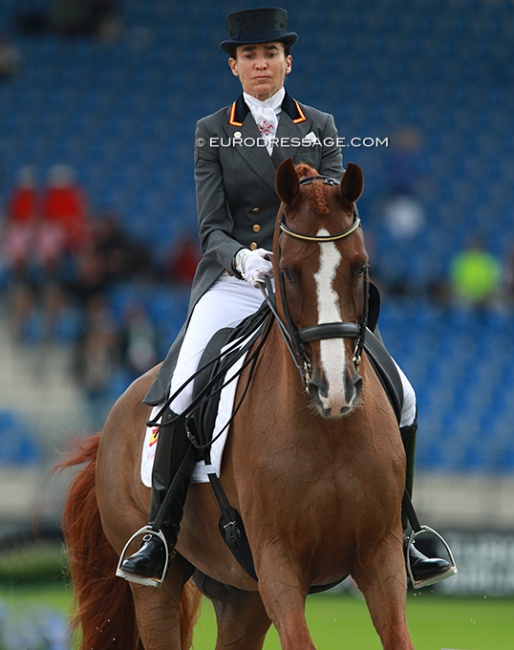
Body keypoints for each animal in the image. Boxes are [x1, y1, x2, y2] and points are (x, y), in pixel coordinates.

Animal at [59, 158, 412, 648]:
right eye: (287, 271)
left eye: (360, 268)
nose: (335, 390)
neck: (330, 436)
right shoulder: (278, 562)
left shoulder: (380, 555)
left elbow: (397, 634)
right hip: (157, 586)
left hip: (242, 595)